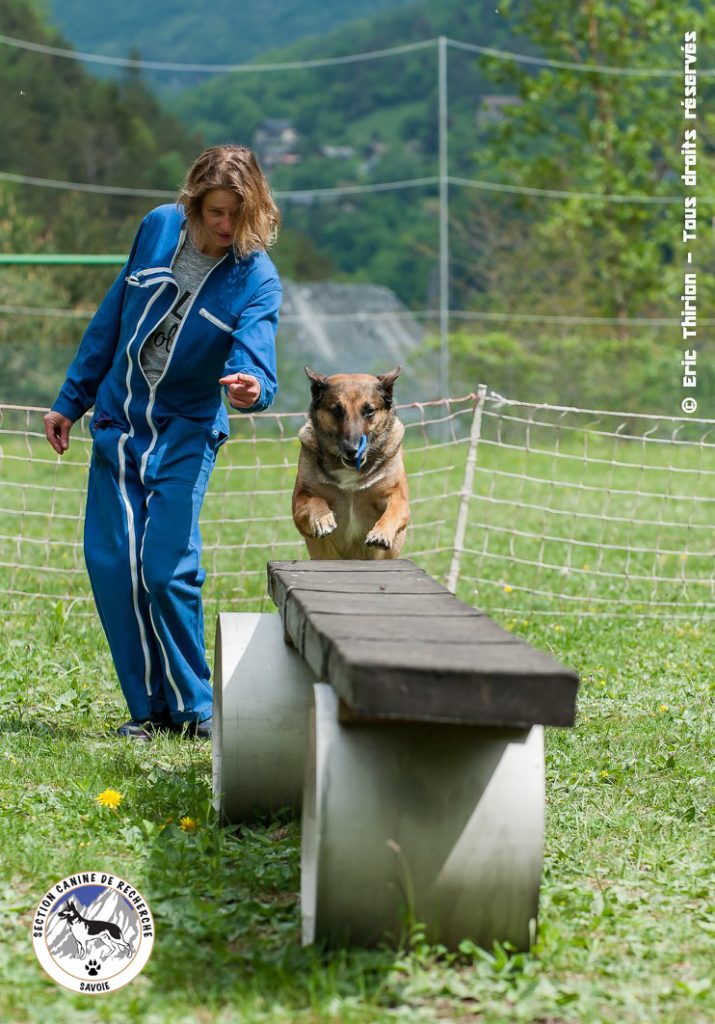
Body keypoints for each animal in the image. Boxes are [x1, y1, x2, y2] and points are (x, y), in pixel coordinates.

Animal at [290, 366, 405, 561]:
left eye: (369, 411)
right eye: (337, 410)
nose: (353, 450)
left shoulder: (397, 495)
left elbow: (394, 510)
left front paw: (381, 533)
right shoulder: (299, 500)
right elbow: (315, 499)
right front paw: (323, 519)